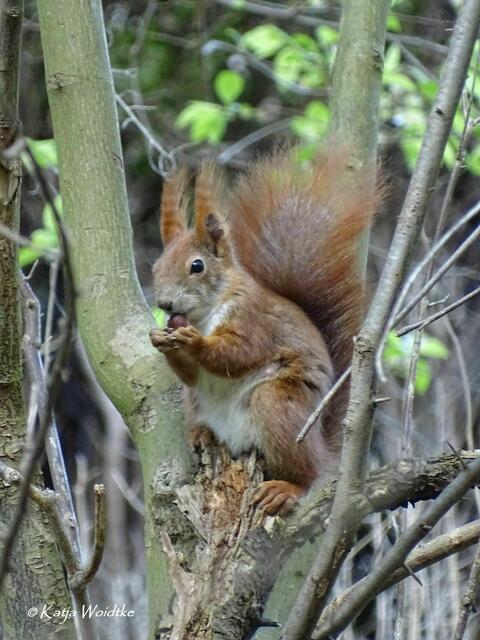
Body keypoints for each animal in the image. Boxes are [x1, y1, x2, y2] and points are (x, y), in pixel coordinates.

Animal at [150, 147, 377, 515]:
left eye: (197, 266)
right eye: (155, 267)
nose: (166, 304)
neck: (205, 313)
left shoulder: (253, 320)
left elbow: (238, 354)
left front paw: (194, 343)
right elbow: (191, 375)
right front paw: (161, 341)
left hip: (277, 406)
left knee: (305, 473)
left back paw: (286, 489)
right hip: (197, 404)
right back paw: (202, 435)